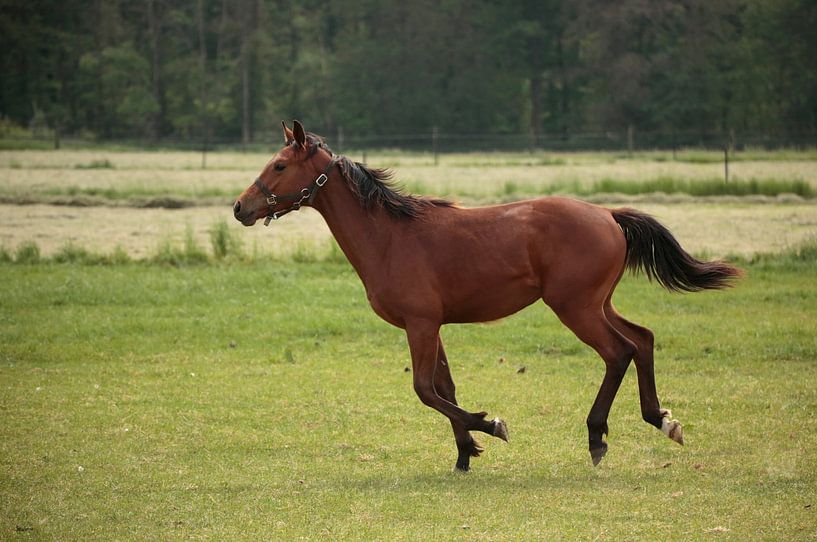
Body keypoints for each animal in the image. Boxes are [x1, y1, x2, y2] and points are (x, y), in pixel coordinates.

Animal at [233, 120, 741, 471]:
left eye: (279, 166)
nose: (241, 207)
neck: (390, 236)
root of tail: (608, 215)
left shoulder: (420, 324)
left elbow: (425, 390)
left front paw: (491, 426)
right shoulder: (432, 325)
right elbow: (445, 388)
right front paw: (465, 452)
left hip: (575, 308)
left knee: (619, 352)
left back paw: (597, 437)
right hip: (599, 303)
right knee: (644, 339)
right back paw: (662, 419)